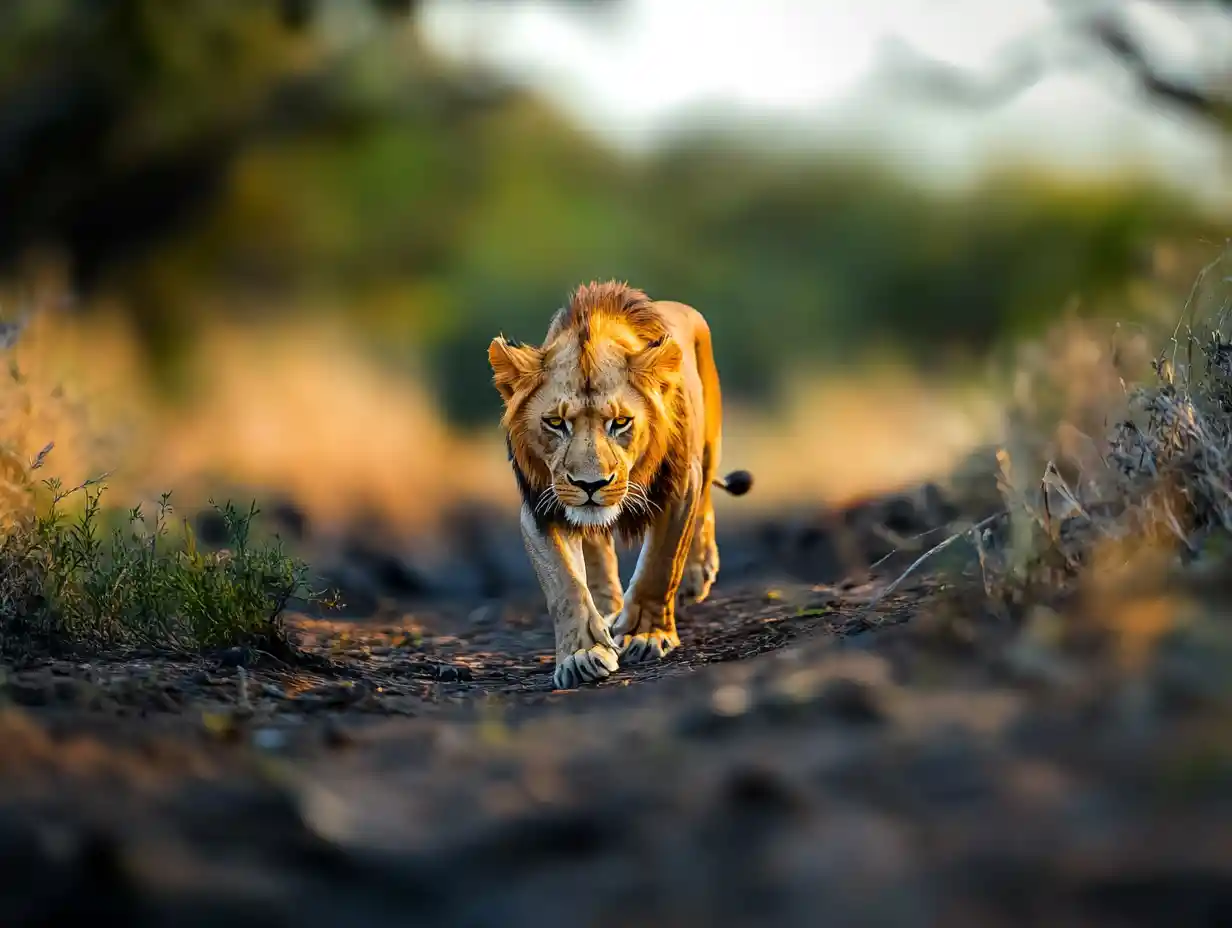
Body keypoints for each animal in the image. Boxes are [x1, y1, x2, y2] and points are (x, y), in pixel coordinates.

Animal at [489, 281, 752, 689]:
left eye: (621, 422)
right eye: (555, 423)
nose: (590, 483)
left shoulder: (680, 486)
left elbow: (661, 564)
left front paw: (646, 634)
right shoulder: (541, 505)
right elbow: (565, 585)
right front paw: (581, 654)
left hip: (709, 446)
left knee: (707, 498)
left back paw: (697, 573)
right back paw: (608, 613)